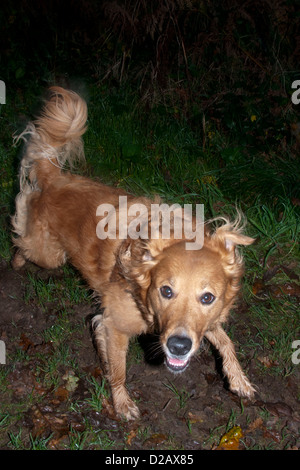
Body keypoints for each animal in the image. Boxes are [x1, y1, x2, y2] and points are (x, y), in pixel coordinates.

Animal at [11, 86, 255, 420]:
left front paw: (239, 378)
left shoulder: (201, 322)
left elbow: (225, 339)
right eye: (166, 291)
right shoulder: (113, 325)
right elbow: (118, 371)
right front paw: (122, 403)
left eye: (207, 297)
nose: (178, 347)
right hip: (48, 255)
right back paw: (15, 260)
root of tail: (55, 177)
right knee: (21, 234)